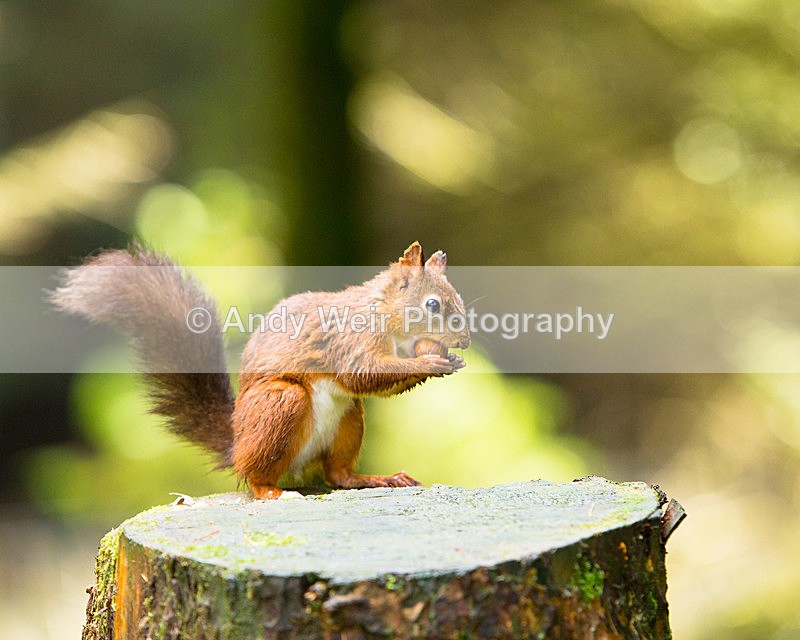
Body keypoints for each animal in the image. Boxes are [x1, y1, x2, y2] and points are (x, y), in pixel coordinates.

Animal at [51, 241, 470, 499]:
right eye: (433, 305)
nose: (464, 341)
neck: (388, 318)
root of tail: (236, 442)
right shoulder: (351, 340)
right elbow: (360, 373)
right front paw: (430, 362)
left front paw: (449, 361)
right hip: (279, 403)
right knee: (256, 474)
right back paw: (271, 492)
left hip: (349, 418)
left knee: (337, 474)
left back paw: (376, 479)